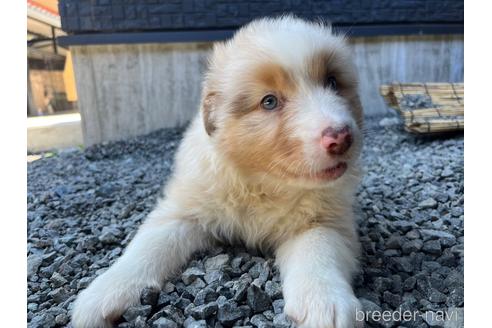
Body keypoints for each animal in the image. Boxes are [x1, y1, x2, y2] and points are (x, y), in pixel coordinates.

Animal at [74, 16, 366, 328]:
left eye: (332, 82)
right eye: (269, 101)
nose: (342, 137)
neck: (263, 183)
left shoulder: (324, 219)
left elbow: (319, 250)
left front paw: (325, 304)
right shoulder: (184, 209)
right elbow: (149, 246)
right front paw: (103, 293)